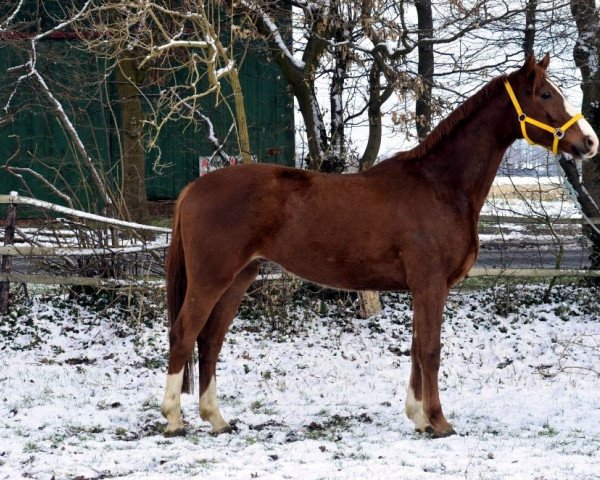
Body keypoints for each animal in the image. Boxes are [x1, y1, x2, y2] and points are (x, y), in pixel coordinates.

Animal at [162, 55, 596, 438]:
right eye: (545, 94)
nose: (589, 142)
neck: (440, 185)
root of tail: (194, 187)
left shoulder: (423, 288)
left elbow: (417, 348)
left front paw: (419, 418)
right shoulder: (430, 284)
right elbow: (430, 350)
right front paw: (439, 422)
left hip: (239, 277)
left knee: (209, 340)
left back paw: (217, 419)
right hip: (211, 277)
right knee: (184, 333)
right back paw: (173, 419)